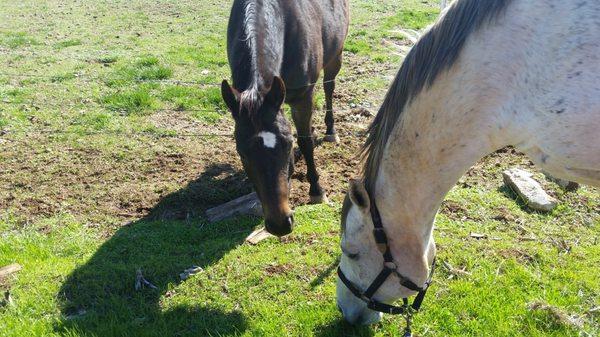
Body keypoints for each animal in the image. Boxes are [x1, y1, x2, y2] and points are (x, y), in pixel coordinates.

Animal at [223, 0, 350, 236]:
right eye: (242, 153)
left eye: (287, 145)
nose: (280, 224)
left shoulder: (302, 97)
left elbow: (305, 142)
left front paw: (317, 191)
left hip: (335, 56)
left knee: (329, 87)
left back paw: (330, 131)